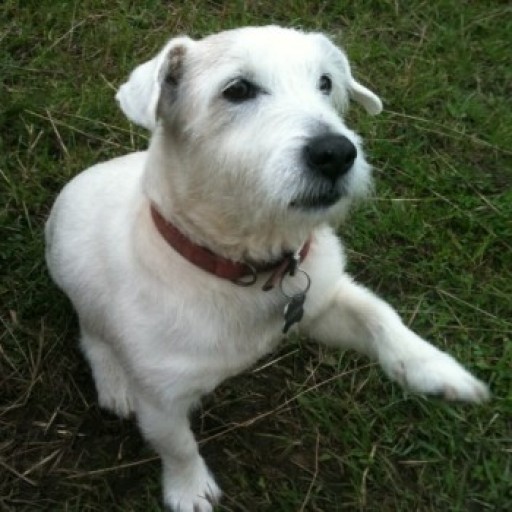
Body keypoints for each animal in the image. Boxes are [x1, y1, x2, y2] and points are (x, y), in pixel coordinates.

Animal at [45, 26, 489, 512]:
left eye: (326, 83)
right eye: (237, 90)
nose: (337, 153)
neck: (243, 266)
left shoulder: (324, 301)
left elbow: (379, 315)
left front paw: (437, 369)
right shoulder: (161, 401)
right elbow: (178, 446)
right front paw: (190, 489)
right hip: (77, 287)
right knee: (91, 335)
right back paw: (112, 380)